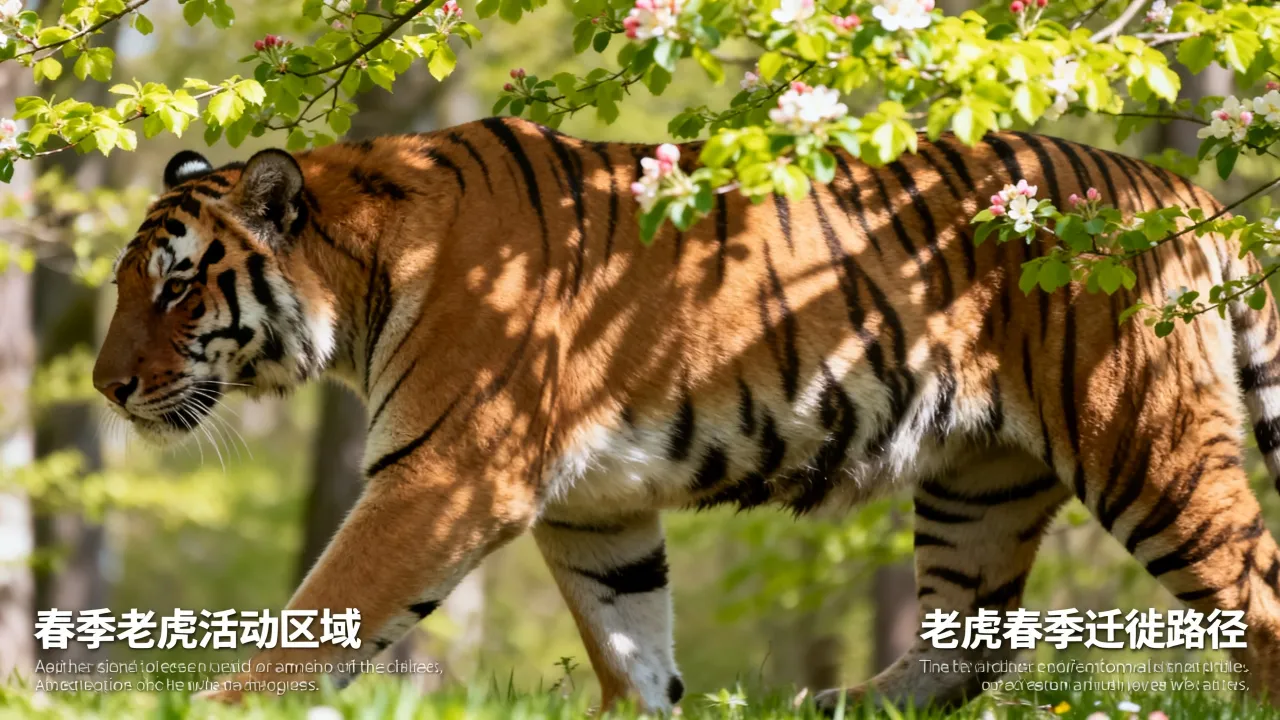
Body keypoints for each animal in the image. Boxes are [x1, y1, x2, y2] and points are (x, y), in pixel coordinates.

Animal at [92, 116, 1280, 712]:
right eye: (122, 285)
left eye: (176, 288)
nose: (106, 388)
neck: (363, 277)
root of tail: (1182, 195)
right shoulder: (596, 509)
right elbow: (632, 644)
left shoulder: (445, 474)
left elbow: (324, 612)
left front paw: (216, 707)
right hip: (978, 484)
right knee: (972, 645)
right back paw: (829, 709)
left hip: (1144, 444)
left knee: (1254, 596)